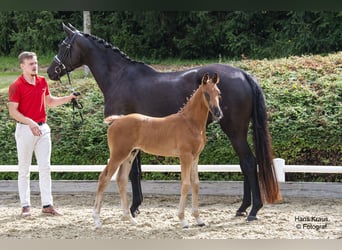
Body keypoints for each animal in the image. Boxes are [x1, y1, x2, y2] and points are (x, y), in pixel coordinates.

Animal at [93, 72, 222, 229]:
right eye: (206, 94)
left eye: (219, 93)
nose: (218, 113)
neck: (190, 122)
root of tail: (116, 120)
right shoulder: (185, 156)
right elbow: (185, 184)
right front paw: (183, 220)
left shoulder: (195, 157)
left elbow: (196, 184)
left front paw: (199, 219)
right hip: (118, 155)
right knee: (104, 178)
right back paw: (97, 220)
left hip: (130, 154)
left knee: (121, 180)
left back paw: (130, 219)